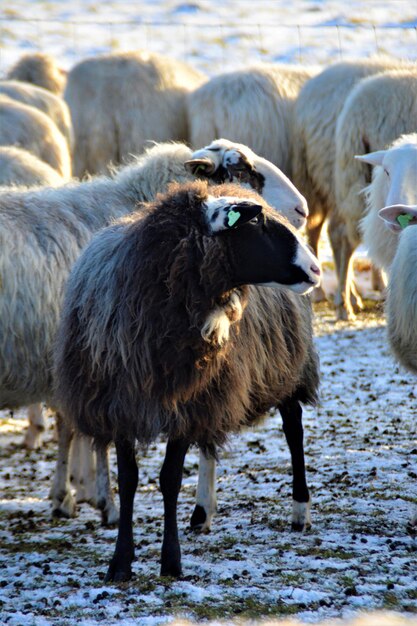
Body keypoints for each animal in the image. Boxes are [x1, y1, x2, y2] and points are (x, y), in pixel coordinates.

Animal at [52, 177, 318, 580]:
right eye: (256, 224)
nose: (316, 267)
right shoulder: (122, 404)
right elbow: (128, 480)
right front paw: (121, 562)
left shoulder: (185, 404)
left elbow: (170, 479)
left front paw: (171, 562)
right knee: (210, 442)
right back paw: (203, 512)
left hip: (285, 366)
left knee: (293, 429)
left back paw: (300, 510)